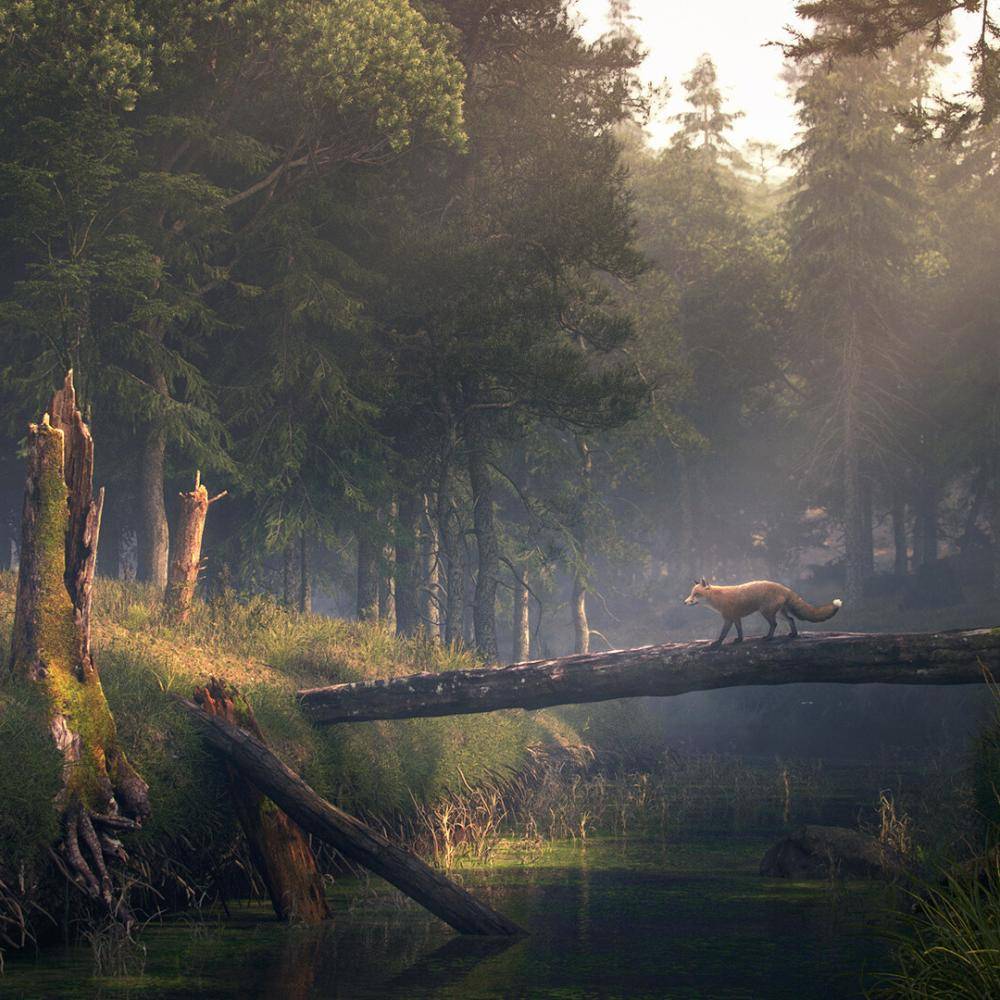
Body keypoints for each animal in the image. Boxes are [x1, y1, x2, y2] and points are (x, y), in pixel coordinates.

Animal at [683, 578, 842, 648]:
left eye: (696, 594)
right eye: (691, 594)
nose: (685, 602)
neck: (718, 598)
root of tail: (785, 588)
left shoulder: (728, 618)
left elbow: (723, 634)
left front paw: (717, 643)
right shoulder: (736, 617)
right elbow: (740, 631)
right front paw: (739, 640)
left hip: (766, 613)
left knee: (774, 624)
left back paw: (768, 638)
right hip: (779, 613)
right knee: (791, 620)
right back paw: (793, 634)